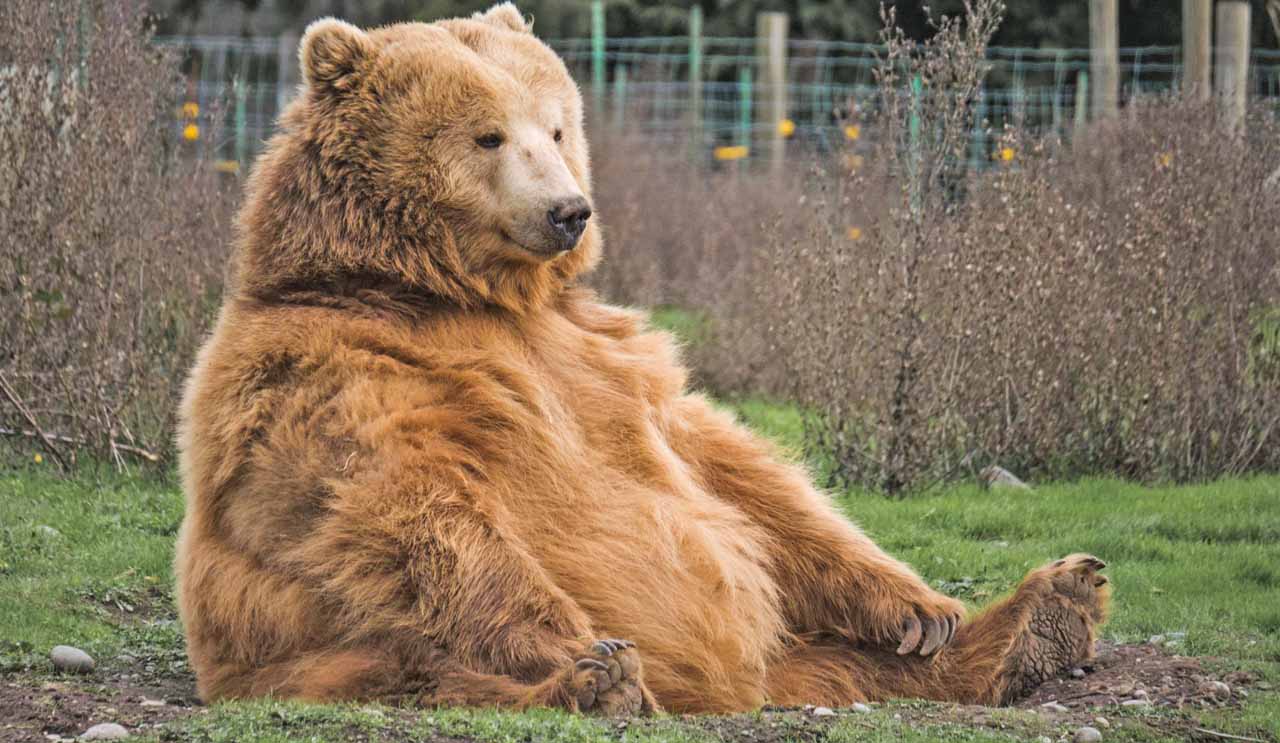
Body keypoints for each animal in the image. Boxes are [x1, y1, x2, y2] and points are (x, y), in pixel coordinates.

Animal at [174, 3, 1110, 715]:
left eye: (556, 125)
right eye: (487, 136)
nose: (568, 210)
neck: (455, 291)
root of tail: (737, 687)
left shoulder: (604, 357)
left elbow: (735, 470)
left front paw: (921, 607)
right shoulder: (336, 370)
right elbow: (413, 509)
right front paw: (583, 650)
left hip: (796, 649)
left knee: (849, 659)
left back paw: (1042, 615)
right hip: (318, 651)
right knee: (426, 666)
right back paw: (598, 682)